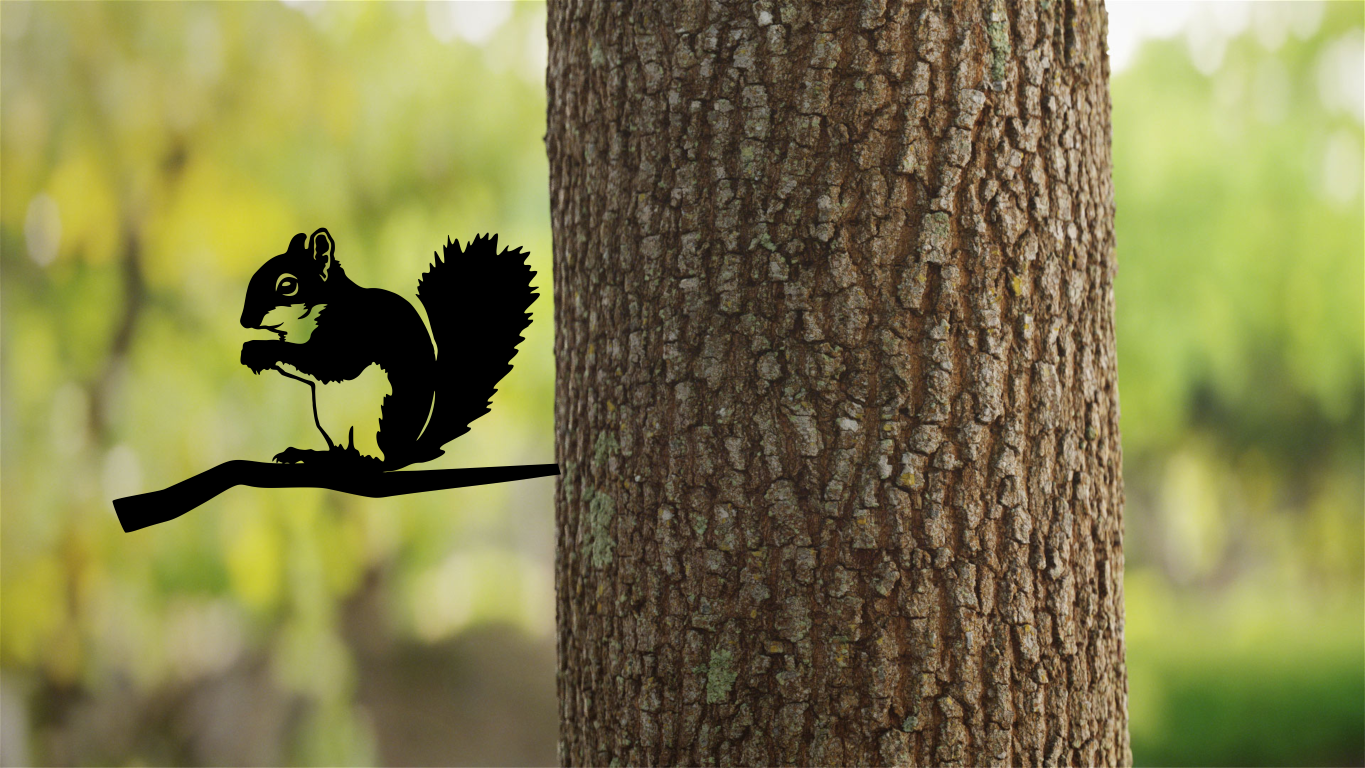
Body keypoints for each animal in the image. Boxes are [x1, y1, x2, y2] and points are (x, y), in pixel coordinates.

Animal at [239, 228, 536, 471]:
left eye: (288, 285)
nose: (244, 321)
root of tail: (404, 451)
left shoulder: (353, 332)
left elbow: (326, 364)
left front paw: (259, 350)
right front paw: (257, 356)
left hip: (376, 417)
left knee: (372, 460)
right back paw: (309, 455)